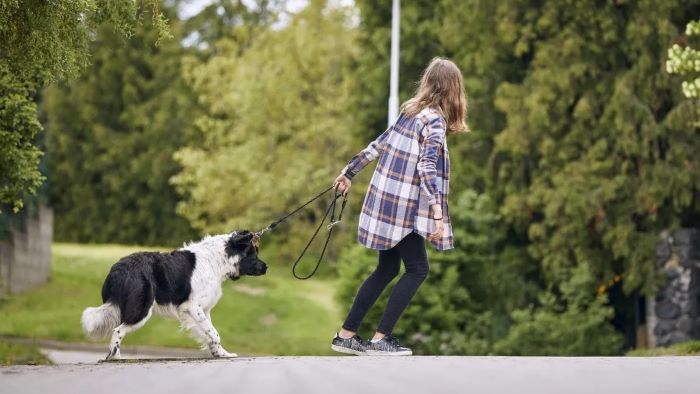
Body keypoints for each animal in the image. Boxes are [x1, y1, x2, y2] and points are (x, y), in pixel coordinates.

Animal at [81, 229, 268, 358]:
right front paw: (219, 351)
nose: (266, 267)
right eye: (254, 254)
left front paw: (221, 354)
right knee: (118, 330)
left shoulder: (201, 310)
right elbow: (214, 333)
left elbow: (209, 333)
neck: (217, 260)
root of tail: (117, 269)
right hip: (141, 310)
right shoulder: (194, 307)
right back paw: (117, 357)